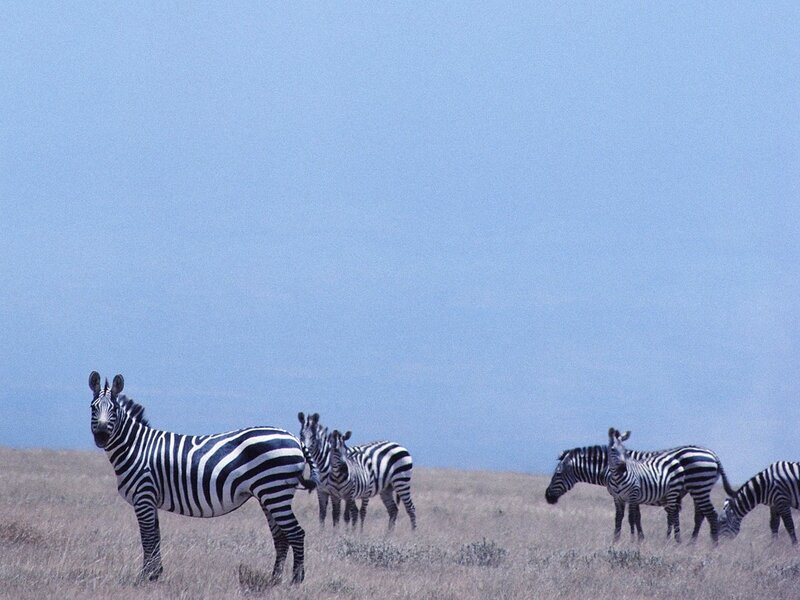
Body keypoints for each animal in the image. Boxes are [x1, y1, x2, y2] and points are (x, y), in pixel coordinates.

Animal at [89, 372, 319, 584]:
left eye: (114, 410)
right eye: (93, 408)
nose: (101, 436)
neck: (136, 447)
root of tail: (295, 438)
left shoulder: (144, 496)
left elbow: (147, 537)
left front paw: (146, 577)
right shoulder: (150, 500)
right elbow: (155, 537)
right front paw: (155, 574)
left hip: (275, 491)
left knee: (296, 533)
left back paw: (296, 580)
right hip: (270, 495)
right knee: (281, 537)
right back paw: (274, 580)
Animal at [605, 428, 735, 543]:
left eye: (624, 451)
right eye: (613, 450)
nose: (623, 469)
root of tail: (713, 455)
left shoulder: (634, 493)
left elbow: (633, 517)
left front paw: (636, 539)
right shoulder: (625, 496)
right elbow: (628, 517)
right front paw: (623, 539)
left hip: (698, 486)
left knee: (709, 513)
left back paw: (712, 544)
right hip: (700, 489)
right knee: (700, 514)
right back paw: (693, 543)